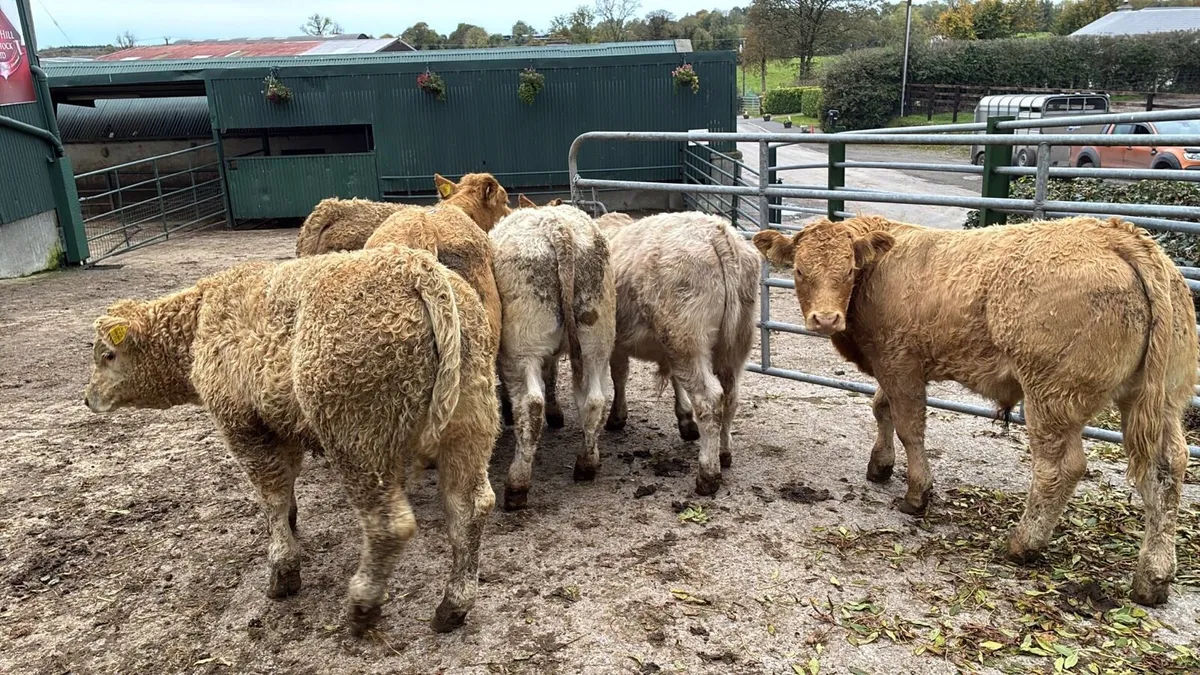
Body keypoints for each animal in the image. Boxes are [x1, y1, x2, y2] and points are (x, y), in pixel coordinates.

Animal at [83, 246, 500, 634]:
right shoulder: (281, 424)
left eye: (108, 355)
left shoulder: (244, 426)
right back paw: (452, 606)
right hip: (471, 423)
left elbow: (272, 495)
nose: (88, 399)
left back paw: (362, 606)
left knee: (388, 524)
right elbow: (285, 487)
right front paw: (291, 522)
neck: (202, 319)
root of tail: (415, 266)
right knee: (469, 509)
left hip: (357, 439)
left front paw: (283, 568)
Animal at [489, 204, 617, 510]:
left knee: (531, 404)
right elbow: (552, 375)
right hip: (596, 341)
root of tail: (557, 227)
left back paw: (517, 485)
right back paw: (586, 464)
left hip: (522, 347)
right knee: (594, 400)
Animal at [599, 212, 760, 496]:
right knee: (730, 397)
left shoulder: (617, 342)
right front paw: (685, 420)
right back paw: (724, 453)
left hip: (687, 336)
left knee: (709, 399)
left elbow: (620, 375)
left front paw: (617, 417)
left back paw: (708, 474)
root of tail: (717, 233)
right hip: (733, 344)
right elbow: (675, 380)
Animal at [753, 215, 1198, 606]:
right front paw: (880, 465)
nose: (826, 319)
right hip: (1161, 398)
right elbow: (881, 408)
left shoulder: (900, 362)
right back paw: (1153, 577)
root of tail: (1117, 234)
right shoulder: (886, 364)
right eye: (799, 270)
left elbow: (909, 427)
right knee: (1166, 469)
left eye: (848, 270)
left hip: (1052, 395)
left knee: (1060, 467)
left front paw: (917, 493)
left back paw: (1023, 544)